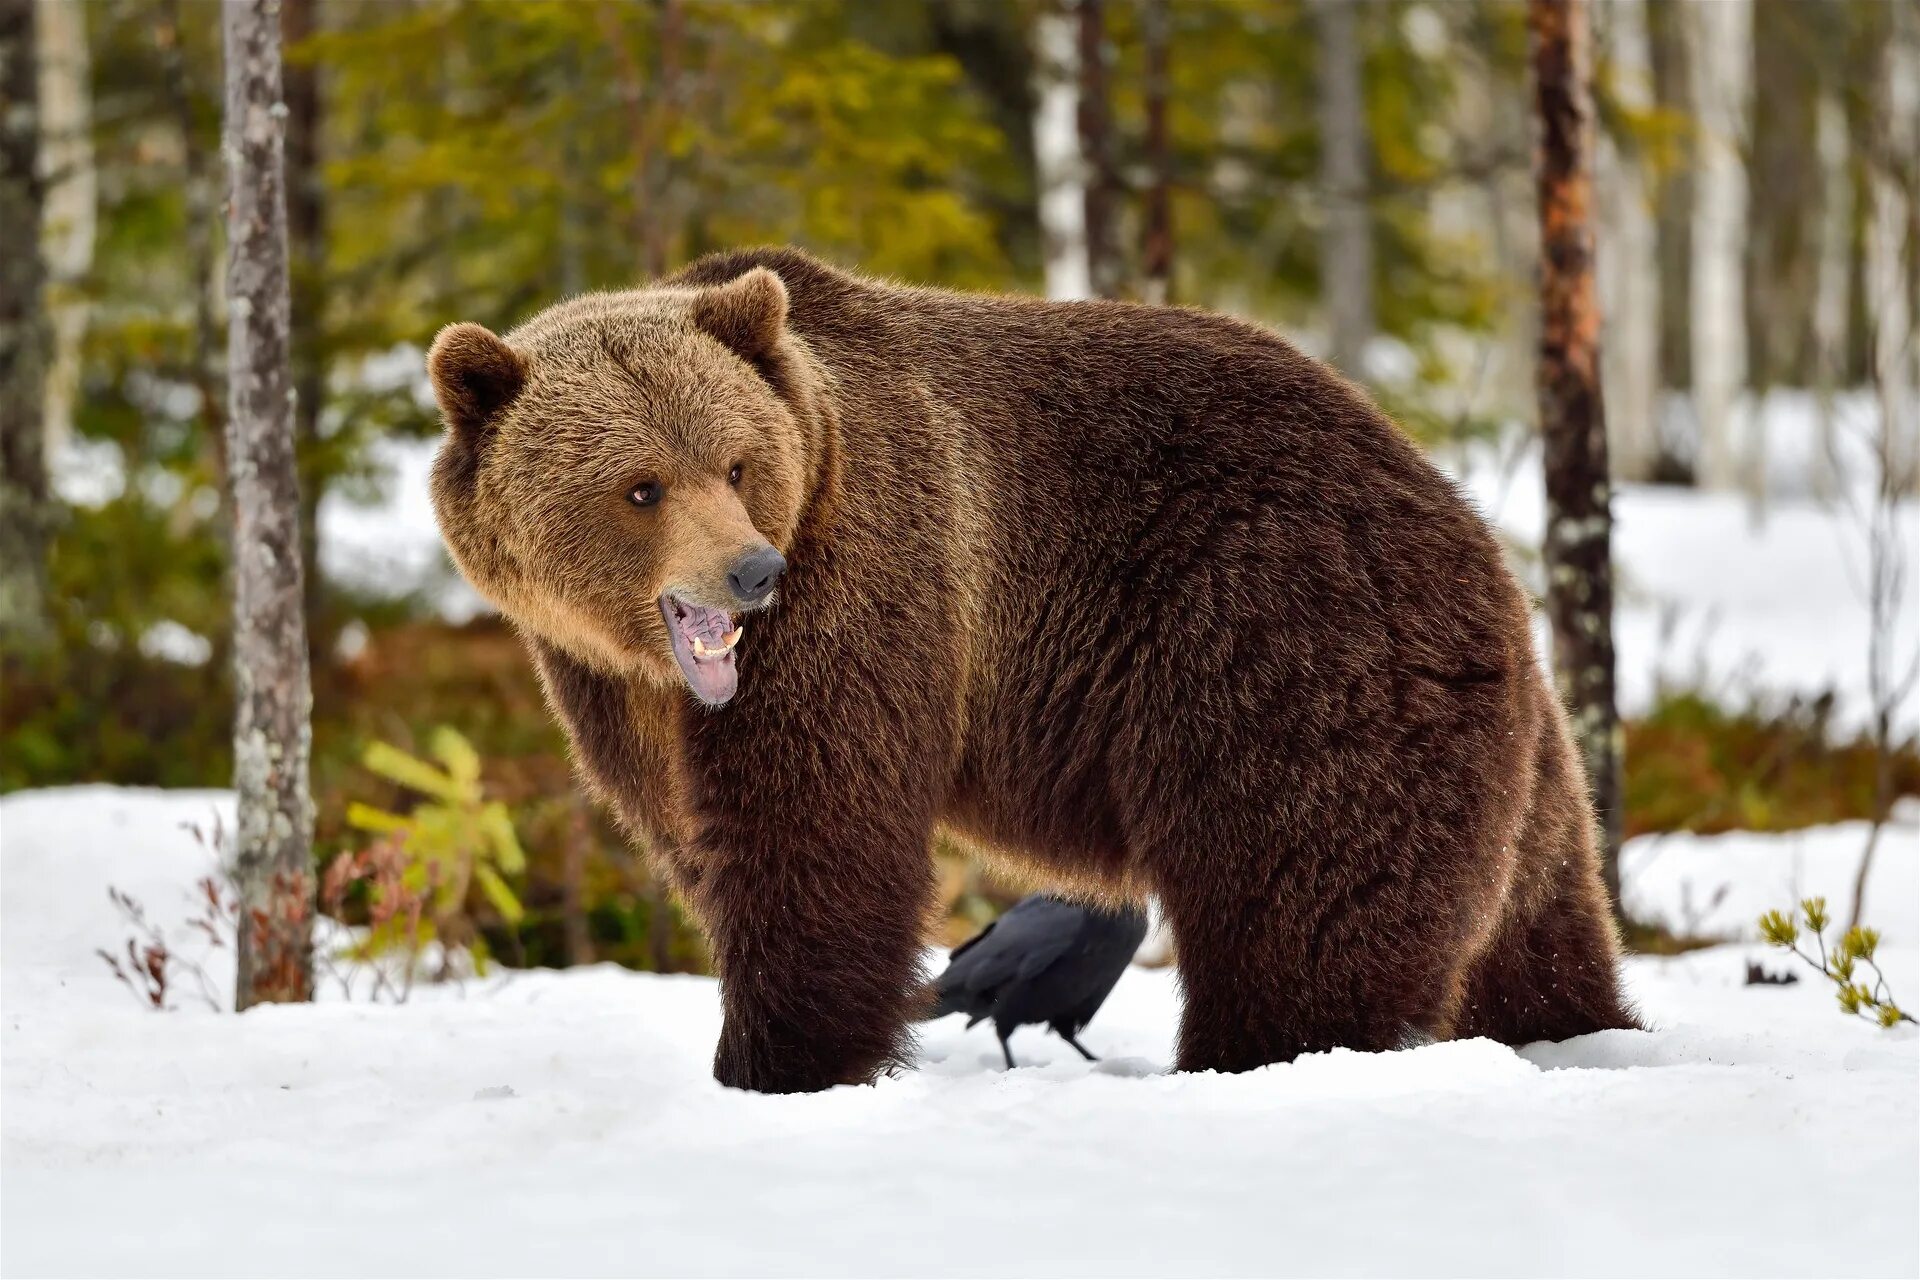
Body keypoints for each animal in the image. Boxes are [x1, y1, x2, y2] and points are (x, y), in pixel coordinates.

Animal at [432, 247, 1635, 1090]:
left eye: (736, 463)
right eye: (641, 486)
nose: (751, 573)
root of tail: (1476, 533)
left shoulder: (869, 584)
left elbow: (815, 834)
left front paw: (784, 1062)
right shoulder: (608, 691)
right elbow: (702, 839)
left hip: (1282, 637)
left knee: (1302, 898)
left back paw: (1260, 1056)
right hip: (1510, 750)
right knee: (1535, 915)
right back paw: (1580, 1027)